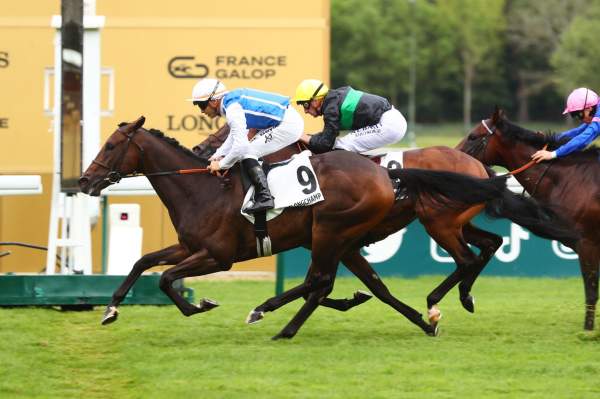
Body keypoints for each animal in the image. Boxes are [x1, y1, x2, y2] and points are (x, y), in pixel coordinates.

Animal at [79, 117, 520, 340]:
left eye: (111, 146)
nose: (84, 181)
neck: (202, 189)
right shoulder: (190, 246)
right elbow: (143, 263)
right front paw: (111, 308)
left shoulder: (218, 256)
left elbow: (167, 278)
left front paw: (200, 304)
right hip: (366, 232)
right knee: (488, 244)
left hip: (386, 226)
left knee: (462, 259)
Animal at [192, 126, 576, 340]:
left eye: (226, 133)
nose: (199, 150)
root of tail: (479, 168)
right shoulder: (335, 243)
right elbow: (340, 286)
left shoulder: (332, 240)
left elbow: (320, 285)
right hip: (457, 222)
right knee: (490, 244)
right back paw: (464, 297)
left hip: (439, 222)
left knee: (467, 258)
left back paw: (435, 303)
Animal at [458, 109, 596, 332]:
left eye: (472, 136)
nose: (452, 154)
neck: (569, 179)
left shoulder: (587, 243)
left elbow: (591, 290)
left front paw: (588, 332)